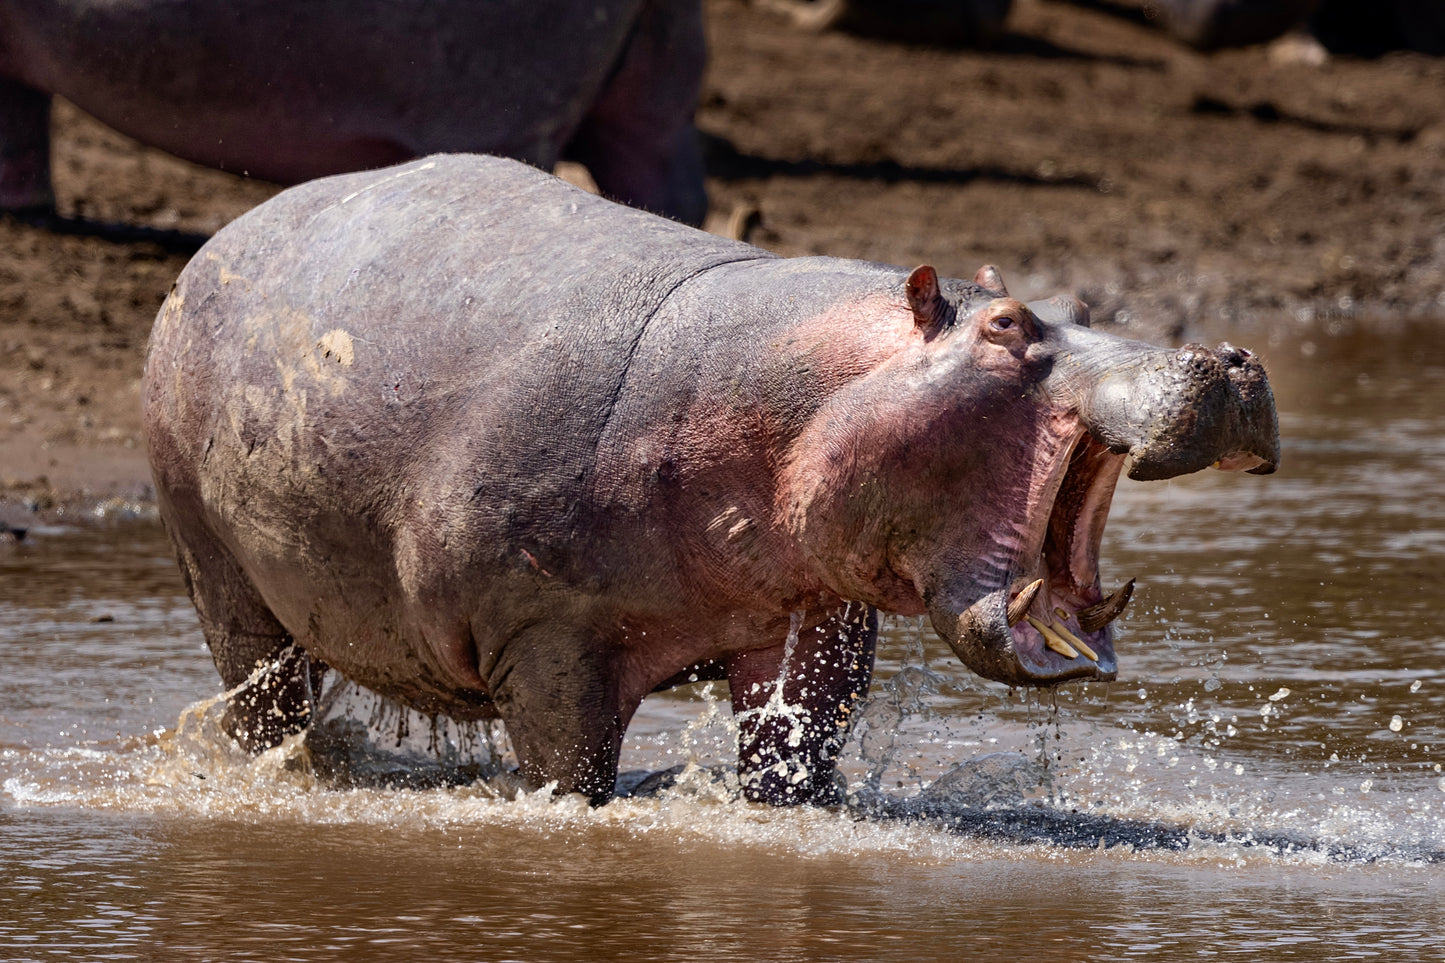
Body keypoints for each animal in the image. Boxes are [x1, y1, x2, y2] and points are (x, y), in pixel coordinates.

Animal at [140, 155, 1283, 803]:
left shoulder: (815, 622)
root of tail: (226, 234)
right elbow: (570, 777)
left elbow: (793, 755)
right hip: (218, 574)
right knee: (261, 697)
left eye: (1072, 304)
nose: (1230, 358)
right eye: (1005, 325)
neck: (809, 382)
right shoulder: (546, 645)